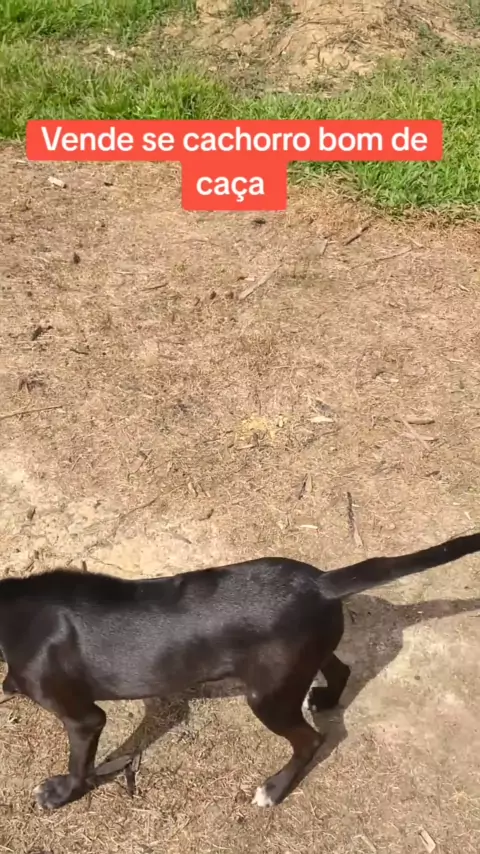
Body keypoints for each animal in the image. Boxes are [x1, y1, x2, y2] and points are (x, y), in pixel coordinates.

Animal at [1, 531, 479, 811]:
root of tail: (322, 582)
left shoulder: (84, 718)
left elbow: (79, 763)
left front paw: (61, 794)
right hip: (301, 661)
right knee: (339, 671)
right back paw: (325, 698)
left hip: (267, 696)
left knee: (312, 740)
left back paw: (274, 789)